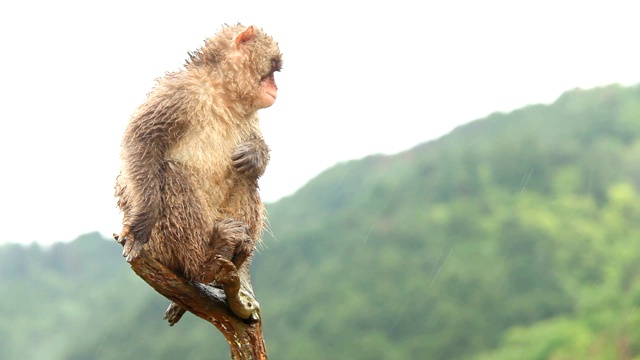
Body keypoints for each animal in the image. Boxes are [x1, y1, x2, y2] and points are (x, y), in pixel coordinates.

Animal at [116, 24, 282, 324]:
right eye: (272, 69)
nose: (275, 87)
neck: (222, 94)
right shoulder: (180, 93)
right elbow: (141, 141)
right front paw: (141, 225)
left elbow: (252, 157)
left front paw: (255, 154)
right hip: (165, 247)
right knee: (169, 173)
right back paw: (203, 264)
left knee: (246, 178)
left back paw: (235, 257)